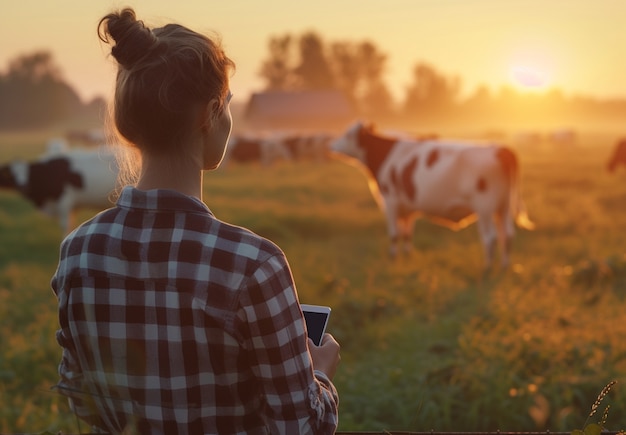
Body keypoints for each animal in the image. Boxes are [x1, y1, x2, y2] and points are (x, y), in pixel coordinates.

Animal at [326, 120, 532, 270]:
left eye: (347, 134)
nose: (331, 145)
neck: (385, 155)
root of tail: (501, 149)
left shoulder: (390, 201)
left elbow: (394, 234)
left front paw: (393, 259)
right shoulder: (408, 206)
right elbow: (406, 233)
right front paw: (407, 256)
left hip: (485, 207)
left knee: (490, 238)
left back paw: (487, 269)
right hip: (503, 206)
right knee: (508, 235)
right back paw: (504, 267)